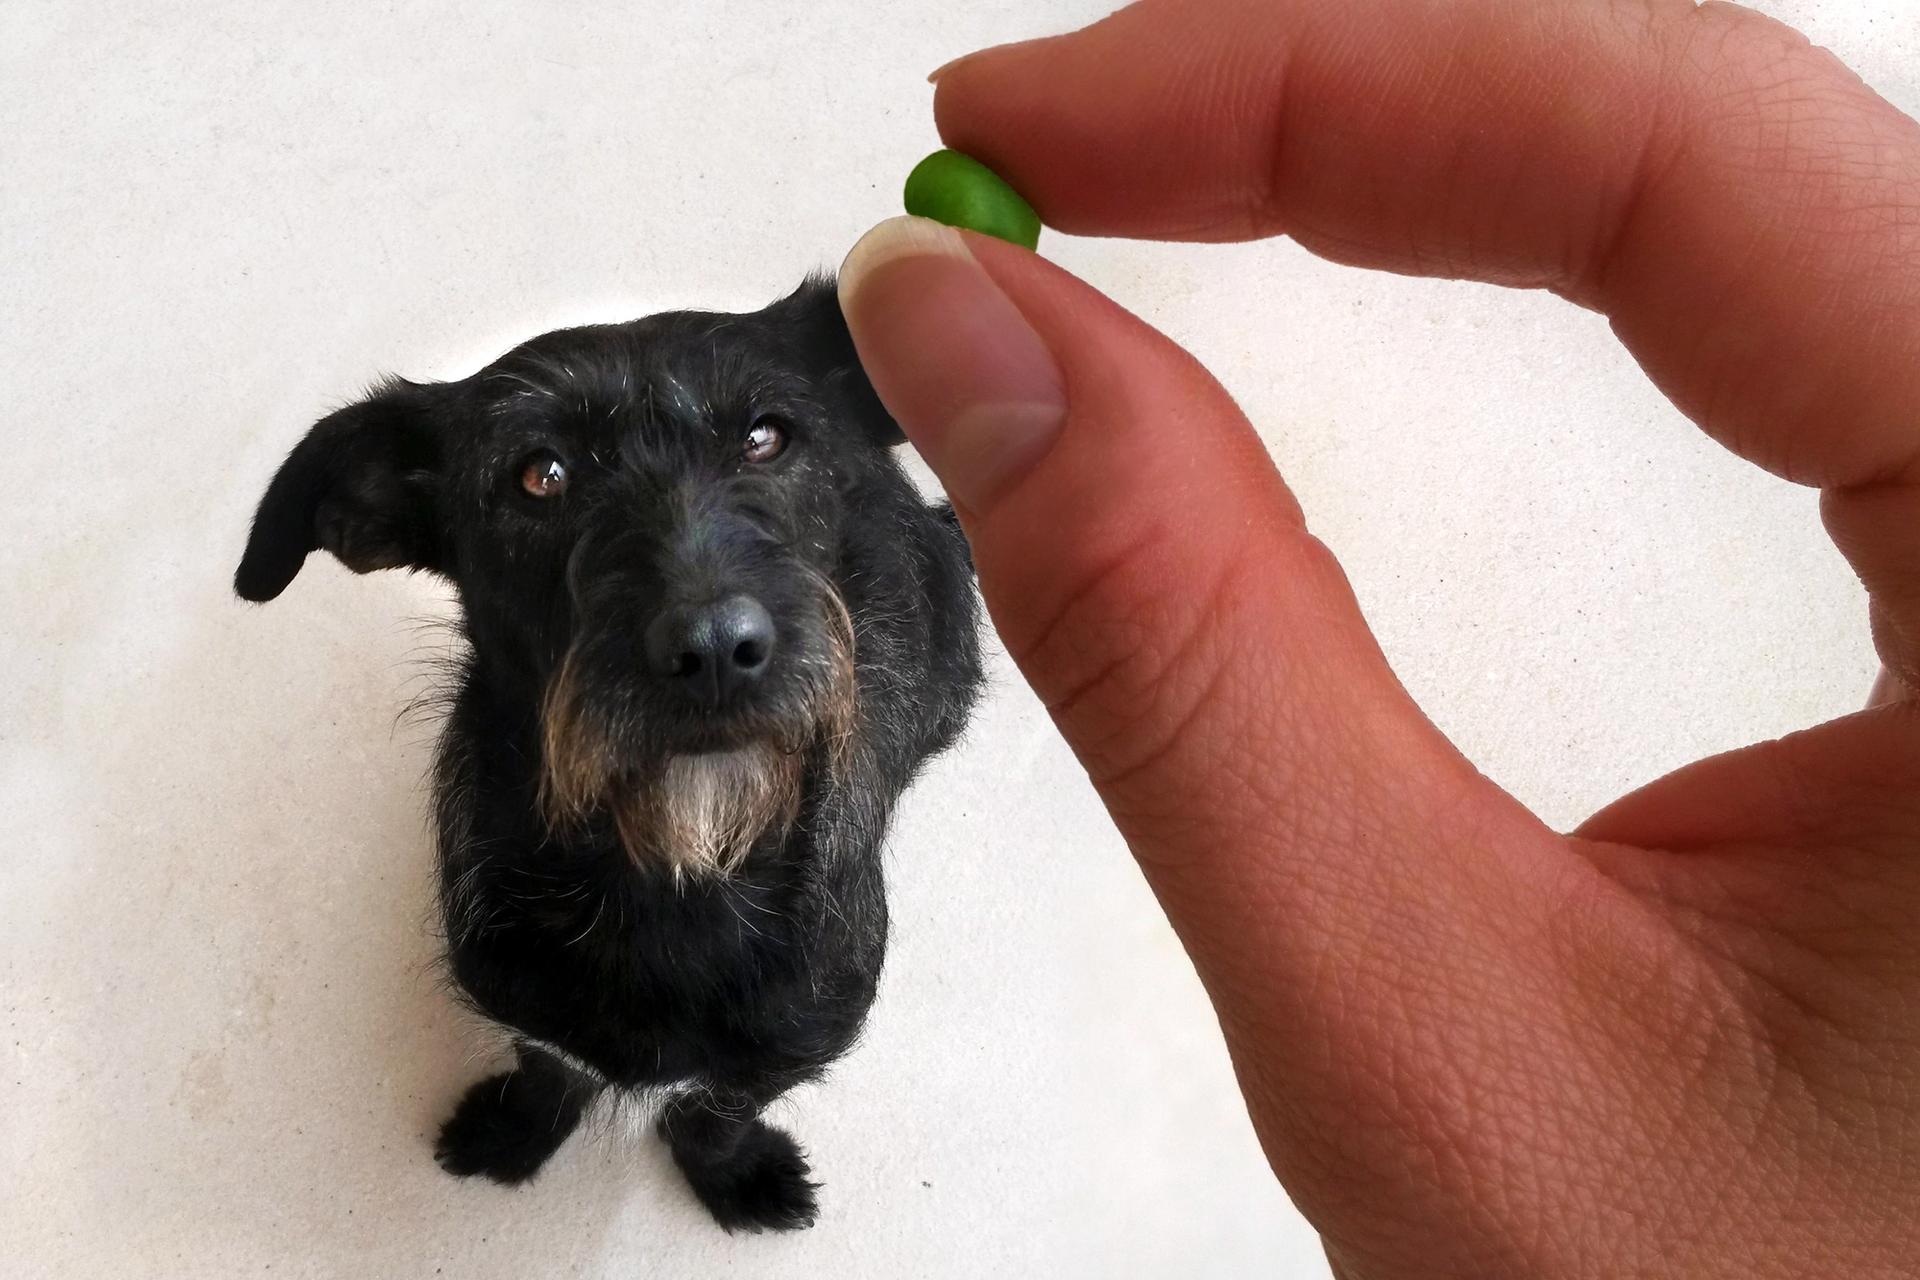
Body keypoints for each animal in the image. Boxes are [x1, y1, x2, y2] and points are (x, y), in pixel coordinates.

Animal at [238, 280, 983, 1228]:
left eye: (766, 436)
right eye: (540, 475)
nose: (715, 648)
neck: (672, 869)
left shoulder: (788, 1048)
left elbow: (716, 1110)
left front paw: (735, 1173)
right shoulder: (525, 1005)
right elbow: (548, 1070)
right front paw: (515, 1134)